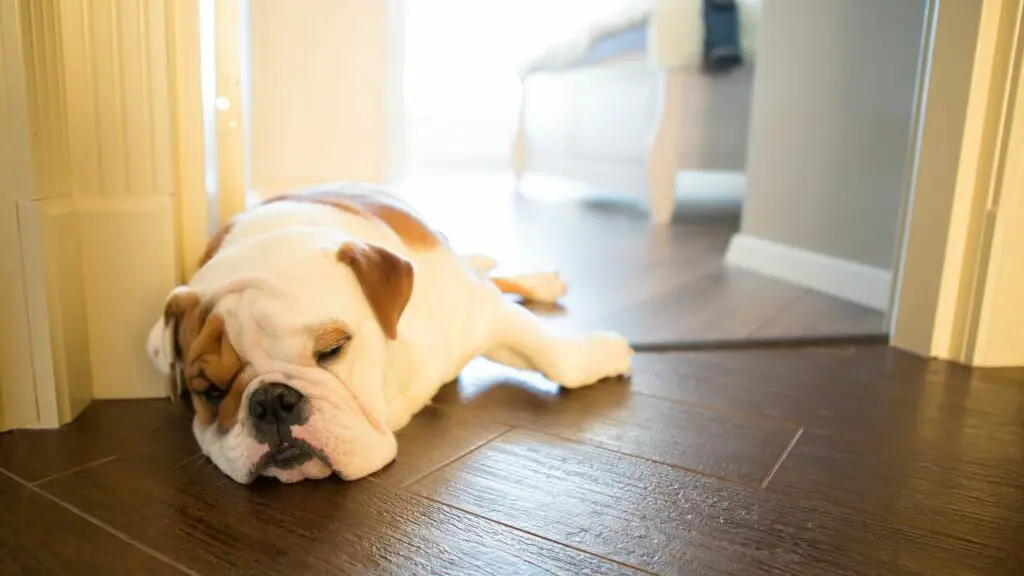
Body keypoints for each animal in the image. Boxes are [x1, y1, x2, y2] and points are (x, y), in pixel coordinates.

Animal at [148, 183, 634, 479]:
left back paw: (542, 281)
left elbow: (560, 359)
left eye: (333, 349)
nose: (272, 401)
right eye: (209, 391)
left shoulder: (481, 310)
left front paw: (607, 352)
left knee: (497, 277)